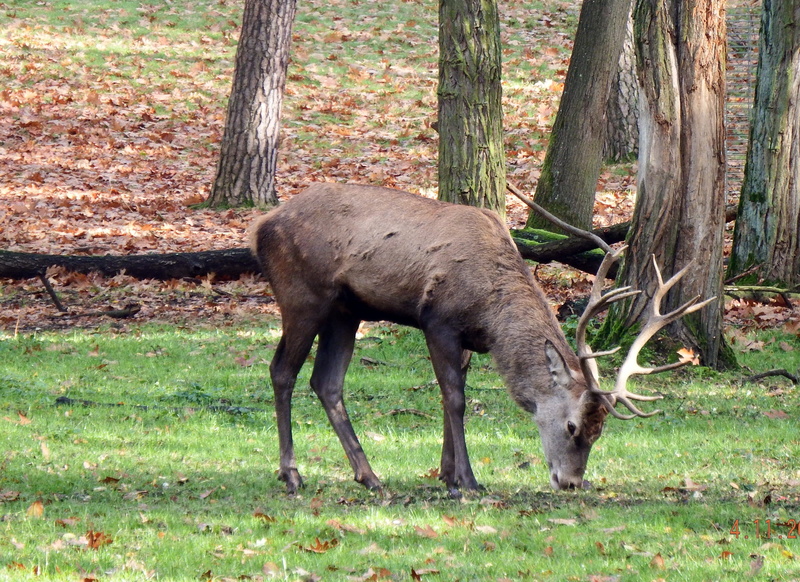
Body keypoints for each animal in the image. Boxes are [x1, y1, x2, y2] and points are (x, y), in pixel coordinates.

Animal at [249, 182, 713, 495]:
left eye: (600, 433)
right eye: (573, 426)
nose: (571, 482)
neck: (491, 316)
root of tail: (260, 227)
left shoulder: (468, 341)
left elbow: (448, 397)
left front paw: (446, 473)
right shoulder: (438, 321)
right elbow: (454, 398)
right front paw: (467, 481)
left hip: (347, 312)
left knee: (326, 382)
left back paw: (370, 476)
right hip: (302, 296)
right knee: (282, 371)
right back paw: (292, 474)